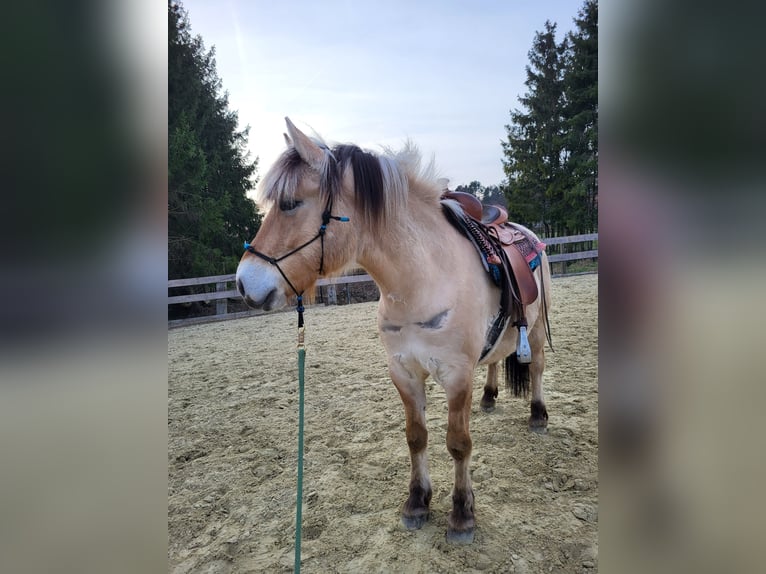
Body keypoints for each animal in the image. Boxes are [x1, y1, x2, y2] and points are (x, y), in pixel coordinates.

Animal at [236, 118, 552, 543]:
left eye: (290, 203)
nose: (244, 283)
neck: (423, 278)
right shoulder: (403, 372)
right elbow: (415, 436)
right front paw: (417, 502)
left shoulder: (455, 376)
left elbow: (458, 443)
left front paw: (462, 513)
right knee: (493, 361)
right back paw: (488, 397)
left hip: (533, 332)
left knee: (535, 368)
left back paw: (537, 415)